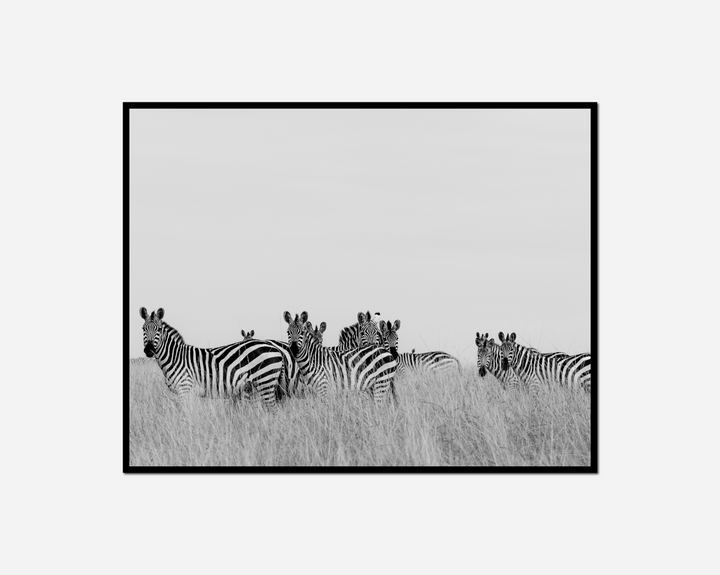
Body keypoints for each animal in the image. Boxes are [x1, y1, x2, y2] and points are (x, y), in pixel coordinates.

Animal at [139, 307, 284, 407]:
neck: (175, 358)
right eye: (143, 329)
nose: (149, 350)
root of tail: (275, 348)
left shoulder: (185, 389)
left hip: (265, 381)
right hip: (254, 385)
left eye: (158, 329)